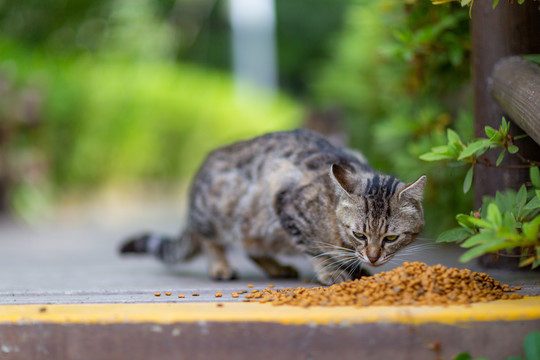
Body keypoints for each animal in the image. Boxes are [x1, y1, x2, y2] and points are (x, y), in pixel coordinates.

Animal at [119, 129, 426, 284]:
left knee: (253, 248)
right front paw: (332, 271)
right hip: (221, 215)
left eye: (391, 238)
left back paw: (276, 267)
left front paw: (356, 269)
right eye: (359, 234)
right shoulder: (286, 201)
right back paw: (220, 266)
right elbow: (316, 249)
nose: (373, 258)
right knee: (212, 241)